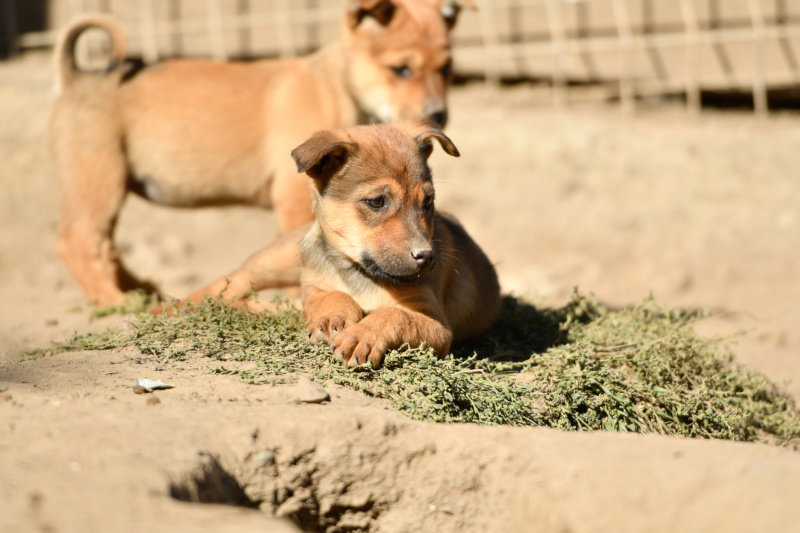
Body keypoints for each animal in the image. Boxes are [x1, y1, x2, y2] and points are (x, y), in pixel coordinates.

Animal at [48, 0, 476, 306]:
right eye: (401, 69)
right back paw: (117, 302)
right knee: (78, 243)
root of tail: (77, 76)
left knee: (104, 247)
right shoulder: (293, 200)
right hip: (98, 177)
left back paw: (139, 289)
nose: (438, 114)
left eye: (447, 69)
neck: (332, 85)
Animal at [169, 120, 500, 368]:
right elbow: (331, 296)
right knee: (230, 282)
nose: (427, 257)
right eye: (377, 201)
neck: (357, 272)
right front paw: (332, 318)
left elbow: (395, 315)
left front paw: (362, 334)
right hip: (274, 260)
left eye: (428, 202)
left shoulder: (436, 324)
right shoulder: (315, 286)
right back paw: (174, 308)